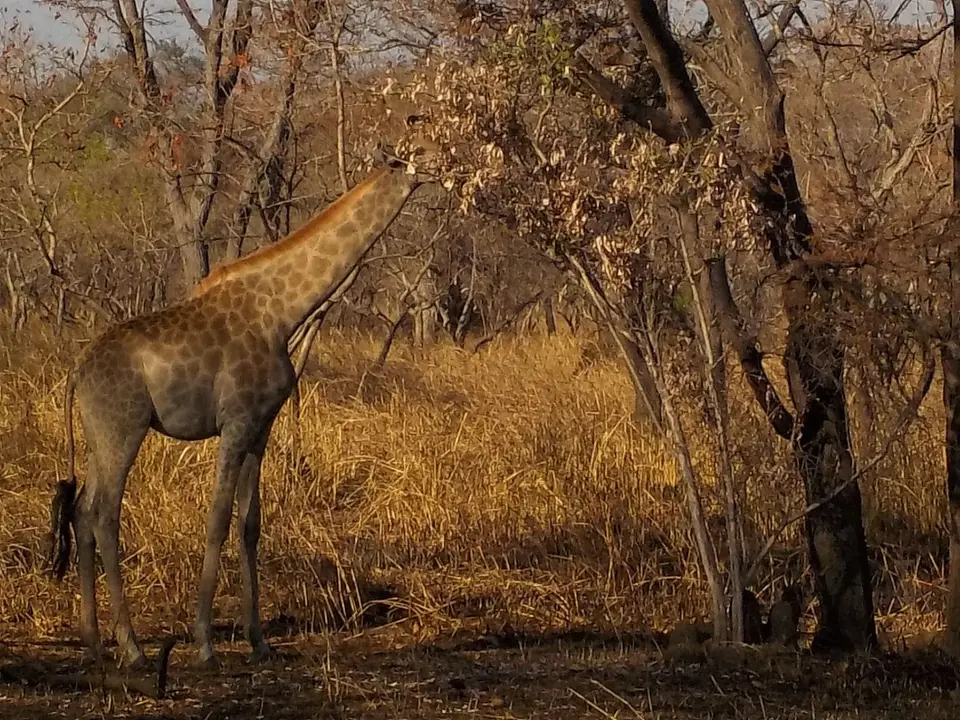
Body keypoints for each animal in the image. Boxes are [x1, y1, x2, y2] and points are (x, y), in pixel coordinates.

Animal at [48, 151, 435, 669]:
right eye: (428, 149)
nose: (453, 171)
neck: (281, 311)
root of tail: (77, 372)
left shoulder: (261, 426)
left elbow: (250, 524)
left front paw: (259, 641)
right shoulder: (234, 424)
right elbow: (217, 518)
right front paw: (206, 644)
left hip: (97, 437)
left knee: (81, 512)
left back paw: (94, 641)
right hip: (123, 428)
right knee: (103, 513)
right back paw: (130, 647)